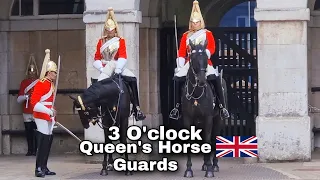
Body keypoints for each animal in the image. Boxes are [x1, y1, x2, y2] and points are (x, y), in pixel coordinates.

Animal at [180, 39, 222, 177]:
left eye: (205, 57)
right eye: (192, 58)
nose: (202, 80)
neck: (197, 94)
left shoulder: (208, 118)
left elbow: (208, 141)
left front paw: (209, 170)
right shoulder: (187, 119)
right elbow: (189, 143)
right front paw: (188, 170)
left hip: (218, 120)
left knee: (214, 139)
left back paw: (214, 165)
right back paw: (205, 163)